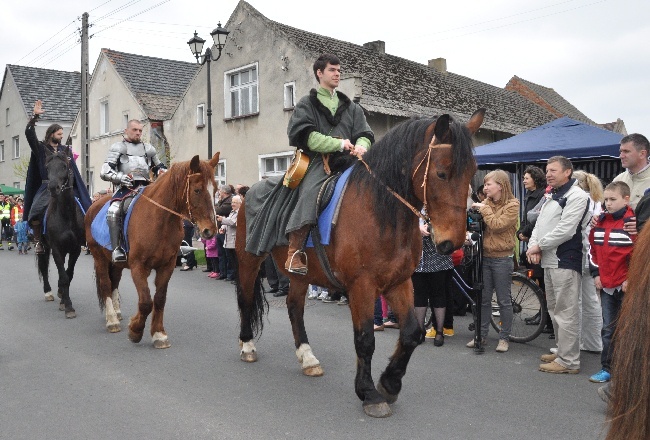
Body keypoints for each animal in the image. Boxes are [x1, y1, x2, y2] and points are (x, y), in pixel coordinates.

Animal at [37, 150, 85, 318]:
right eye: (47, 167)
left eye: (64, 166)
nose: (53, 188)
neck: (66, 215)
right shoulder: (57, 249)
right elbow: (63, 276)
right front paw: (68, 306)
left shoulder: (75, 249)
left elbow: (68, 274)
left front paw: (64, 301)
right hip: (44, 246)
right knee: (44, 266)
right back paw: (48, 292)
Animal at [85, 153, 220, 348]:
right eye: (197, 190)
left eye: (215, 189)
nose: (210, 231)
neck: (160, 219)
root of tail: (93, 206)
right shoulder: (138, 267)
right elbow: (146, 301)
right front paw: (135, 331)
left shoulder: (167, 266)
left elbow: (160, 299)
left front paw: (158, 334)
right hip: (99, 257)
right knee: (105, 284)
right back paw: (112, 320)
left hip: (115, 263)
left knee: (114, 282)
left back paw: (117, 313)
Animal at [235, 109, 484, 416]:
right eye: (441, 172)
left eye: (472, 173)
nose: (453, 243)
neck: (380, 212)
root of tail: (249, 191)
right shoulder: (362, 286)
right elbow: (365, 339)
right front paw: (369, 393)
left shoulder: (399, 282)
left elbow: (412, 333)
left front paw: (389, 383)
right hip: (249, 260)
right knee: (246, 300)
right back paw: (247, 346)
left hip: (301, 275)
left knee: (294, 308)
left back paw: (308, 357)